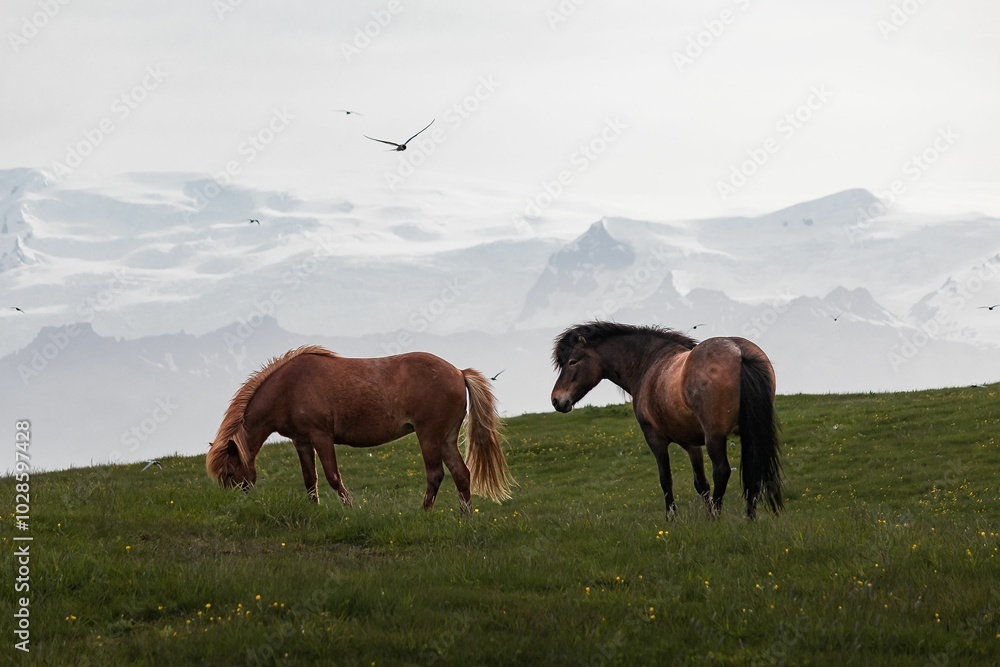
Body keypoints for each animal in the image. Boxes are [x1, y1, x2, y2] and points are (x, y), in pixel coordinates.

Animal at [207, 346, 513, 510]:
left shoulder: (321, 436)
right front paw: (314, 509)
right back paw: (465, 516)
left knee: (435, 475)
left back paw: (424, 513)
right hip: (446, 439)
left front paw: (350, 510)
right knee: (461, 474)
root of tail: (458, 373)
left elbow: (332, 477)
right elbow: (310, 479)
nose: (235, 504)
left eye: (230, 473)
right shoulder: (301, 441)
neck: (288, 387)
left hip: (429, 436)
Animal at [550, 322, 782, 520]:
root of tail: (739, 352)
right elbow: (701, 483)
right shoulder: (691, 443)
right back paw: (749, 518)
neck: (649, 363)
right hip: (748, 433)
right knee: (752, 471)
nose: (556, 400)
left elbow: (666, 479)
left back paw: (718, 517)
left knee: (722, 471)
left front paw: (672, 518)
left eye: (572, 362)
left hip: (715, 437)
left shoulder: (655, 439)